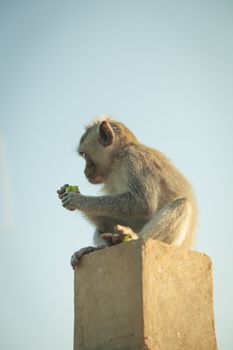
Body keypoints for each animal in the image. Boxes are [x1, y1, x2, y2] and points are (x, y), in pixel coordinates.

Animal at [56, 117, 197, 268]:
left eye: (84, 155)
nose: (85, 171)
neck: (118, 157)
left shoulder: (134, 160)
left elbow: (142, 203)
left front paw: (78, 200)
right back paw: (100, 247)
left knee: (182, 204)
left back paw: (131, 238)